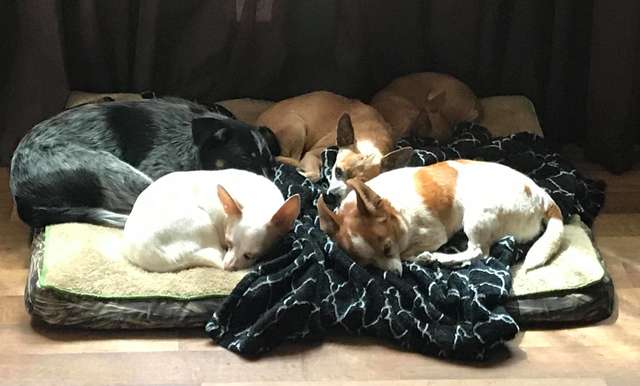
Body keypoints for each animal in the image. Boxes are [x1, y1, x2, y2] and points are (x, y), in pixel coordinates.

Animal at [256, 89, 412, 195]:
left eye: (362, 185)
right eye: (337, 170)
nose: (332, 195)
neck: (370, 140)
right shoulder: (313, 154)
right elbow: (314, 174)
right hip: (297, 125)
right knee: (292, 158)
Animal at [318, 159, 564, 274]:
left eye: (388, 249)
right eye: (368, 265)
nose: (396, 274)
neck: (392, 207)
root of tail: (542, 197)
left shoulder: (435, 236)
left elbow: (407, 253)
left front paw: (418, 257)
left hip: (476, 215)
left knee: (479, 252)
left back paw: (438, 258)